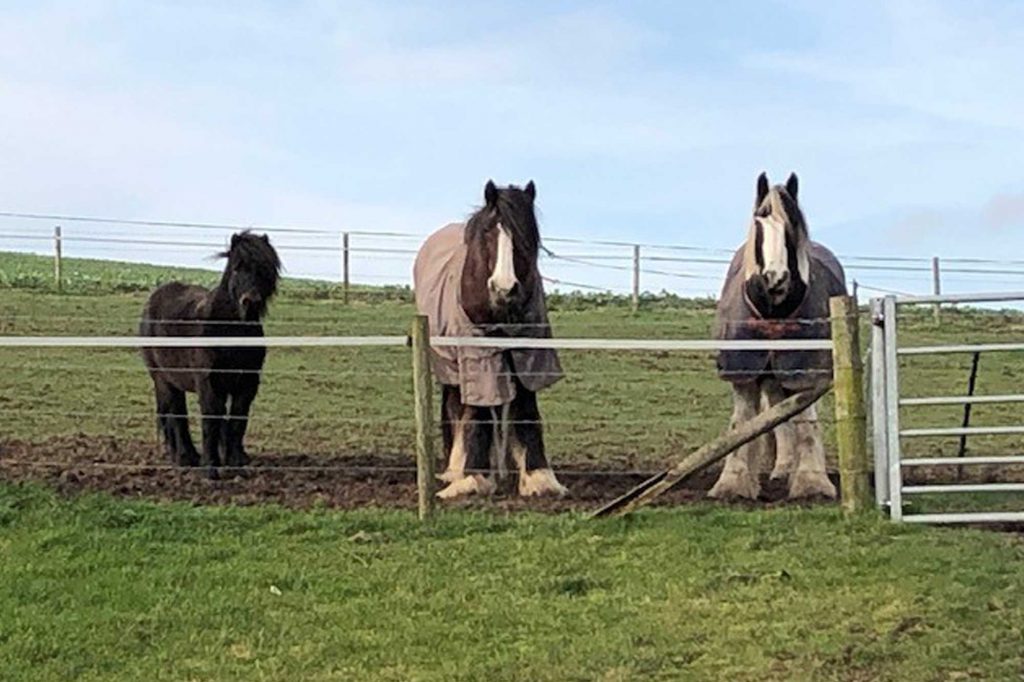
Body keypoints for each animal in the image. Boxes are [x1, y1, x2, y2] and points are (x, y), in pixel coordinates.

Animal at [141, 231, 280, 471]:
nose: (250, 302)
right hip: (163, 379)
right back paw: (185, 458)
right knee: (177, 415)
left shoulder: (247, 383)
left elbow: (237, 420)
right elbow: (211, 419)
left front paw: (235, 462)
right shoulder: (209, 382)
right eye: (236, 267)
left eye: (264, 269)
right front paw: (210, 466)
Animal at [411, 179, 569, 499]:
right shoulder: (477, 357)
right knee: (457, 406)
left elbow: (525, 407)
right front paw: (475, 477)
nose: (504, 289)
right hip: (451, 365)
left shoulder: (527, 356)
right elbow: (478, 412)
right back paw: (456, 468)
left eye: (527, 233)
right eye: (488, 232)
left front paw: (538, 477)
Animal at [712, 173, 847, 497]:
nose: (775, 278)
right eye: (759, 222)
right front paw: (733, 483)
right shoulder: (743, 370)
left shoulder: (805, 372)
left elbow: (805, 423)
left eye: (790, 226)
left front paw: (811, 482)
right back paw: (782, 468)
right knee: (777, 412)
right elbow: (743, 423)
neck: (772, 314)